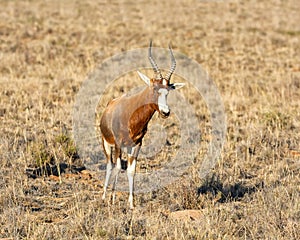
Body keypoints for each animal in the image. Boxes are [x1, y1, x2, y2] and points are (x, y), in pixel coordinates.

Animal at [99, 42, 184, 209]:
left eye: (168, 90)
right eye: (154, 88)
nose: (165, 112)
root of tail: (110, 104)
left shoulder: (137, 144)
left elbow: (132, 170)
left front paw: (131, 204)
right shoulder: (118, 143)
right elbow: (118, 166)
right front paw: (112, 198)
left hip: (127, 146)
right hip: (107, 143)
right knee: (110, 165)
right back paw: (105, 196)